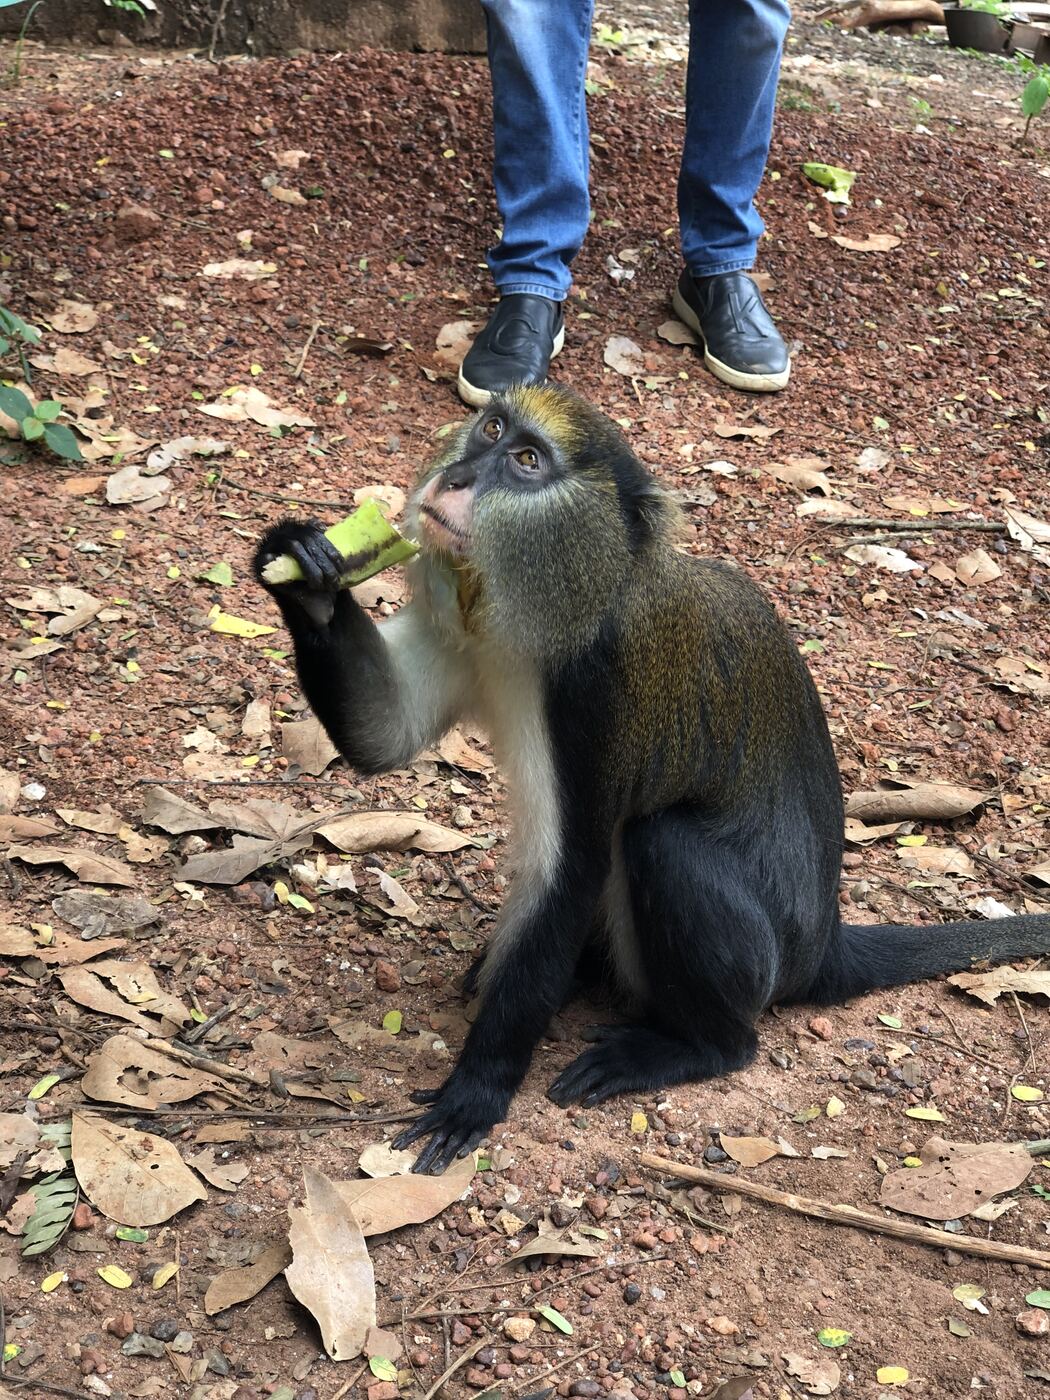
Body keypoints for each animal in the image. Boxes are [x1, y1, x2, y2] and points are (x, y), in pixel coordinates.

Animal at [253, 384, 1050, 1174]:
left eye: (527, 461)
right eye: (491, 429)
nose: (455, 479)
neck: (573, 590)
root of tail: (822, 947)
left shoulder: (596, 690)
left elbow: (570, 869)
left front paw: (475, 1091)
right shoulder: (466, 627)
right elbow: (388, 732)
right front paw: (302, 566)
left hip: (751, 961)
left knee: (664, 848)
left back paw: (697, 1046)